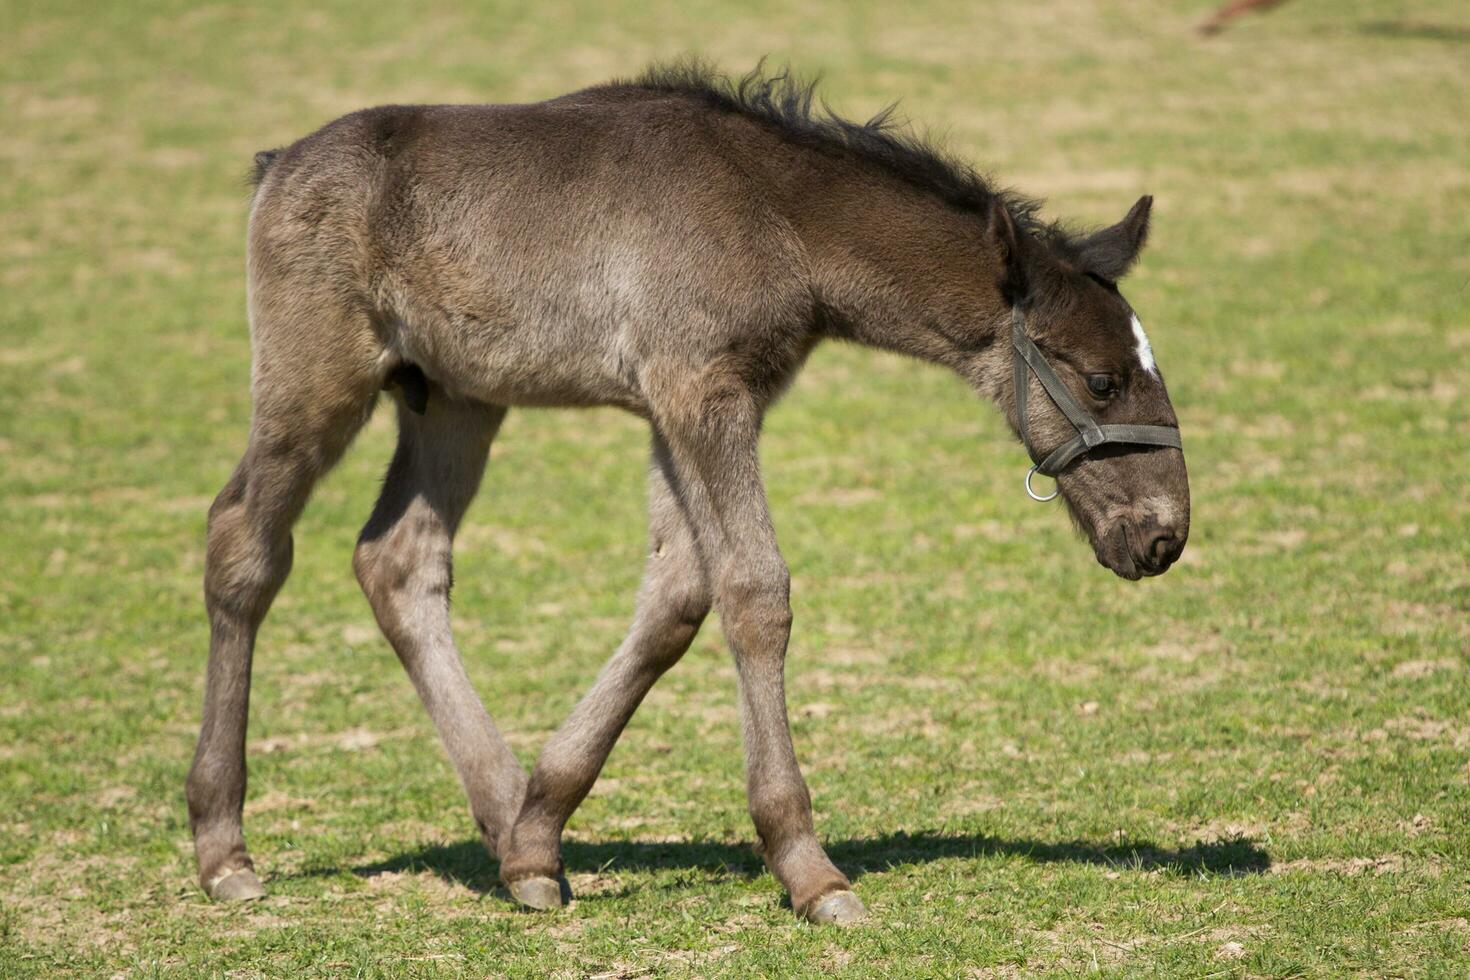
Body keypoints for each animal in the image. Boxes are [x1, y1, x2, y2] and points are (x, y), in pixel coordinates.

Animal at [186, 65, 1193, 922]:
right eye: (1103, 380)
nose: (1164, 535)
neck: (776, 217)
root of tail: (280, 164)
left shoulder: (690, 406)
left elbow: (677, 597)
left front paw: (540, 835)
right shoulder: (701, 392)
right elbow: (754, 591)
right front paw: (809, 869)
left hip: (455, 398)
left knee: (398, 560)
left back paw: (506, 823)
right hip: (317, 377)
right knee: (244, 541)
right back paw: (223, 847)